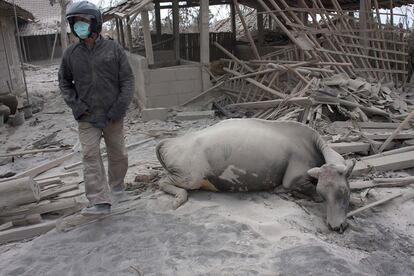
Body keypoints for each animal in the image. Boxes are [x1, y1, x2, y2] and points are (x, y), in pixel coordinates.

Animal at [156, 118, 356, 233]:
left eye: (344, 193)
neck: (313, 146)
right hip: (191, 177)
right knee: (163, 181)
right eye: (325, 195)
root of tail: (170, 141)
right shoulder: (292, 181)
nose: (336, 226)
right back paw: (178, 198)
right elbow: (307, 191)